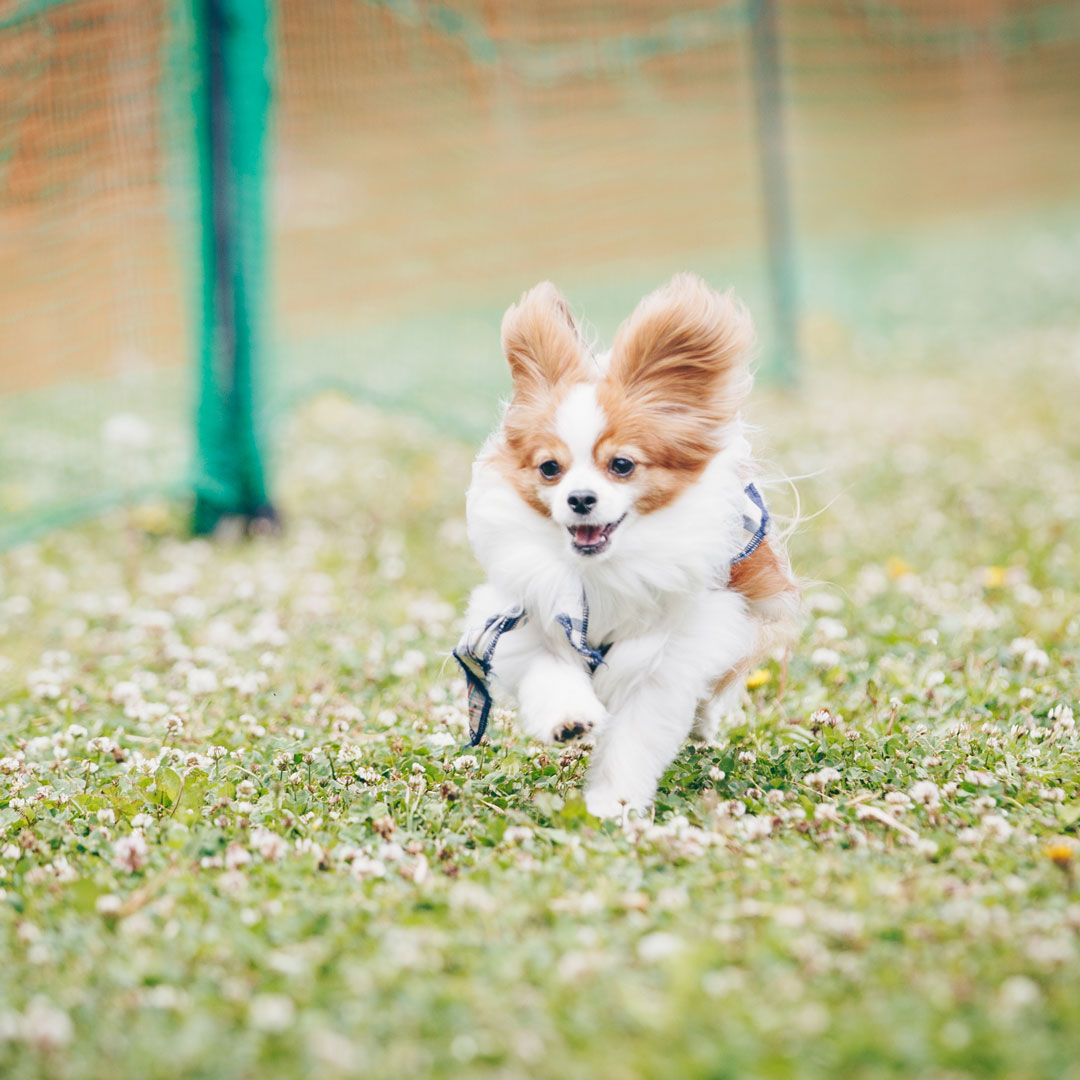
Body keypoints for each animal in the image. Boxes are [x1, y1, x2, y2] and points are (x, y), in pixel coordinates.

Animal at [451, 274, 799, 812]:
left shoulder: (667, 659)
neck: (605, 570)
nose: (580, 498)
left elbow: (634, 740)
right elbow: (550, 671)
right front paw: (570, 719)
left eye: (621, 465)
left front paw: (610, 805)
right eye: (549, 468)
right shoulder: (522, 617)